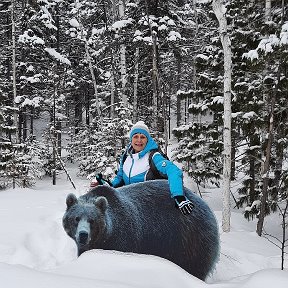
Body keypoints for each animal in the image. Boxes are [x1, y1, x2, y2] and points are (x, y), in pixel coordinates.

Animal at [62, 180, 218, 280]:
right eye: (76, 218)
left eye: (92, 220)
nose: (83, 235)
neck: (104, 237)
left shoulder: (123, 238)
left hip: (189, 238)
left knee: (194, 265)